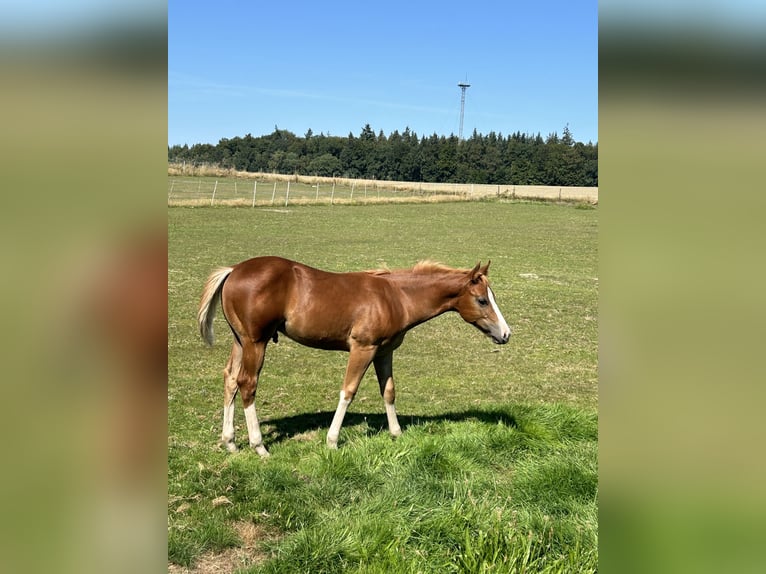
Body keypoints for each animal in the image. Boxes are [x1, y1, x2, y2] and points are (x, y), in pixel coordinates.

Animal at [198, 256, 512, 460]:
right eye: (482, 300)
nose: (506, 334)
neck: (396, 297)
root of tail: (233, 270)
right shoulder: (363, 348)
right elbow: (348, 391)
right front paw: (332, 441)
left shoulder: (384, 351)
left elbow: (388, 391)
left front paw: (397, 433)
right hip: (256, 342)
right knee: (247, 383)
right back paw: (259, 446)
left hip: (240, 341)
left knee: (230, 379)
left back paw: (230, 442)